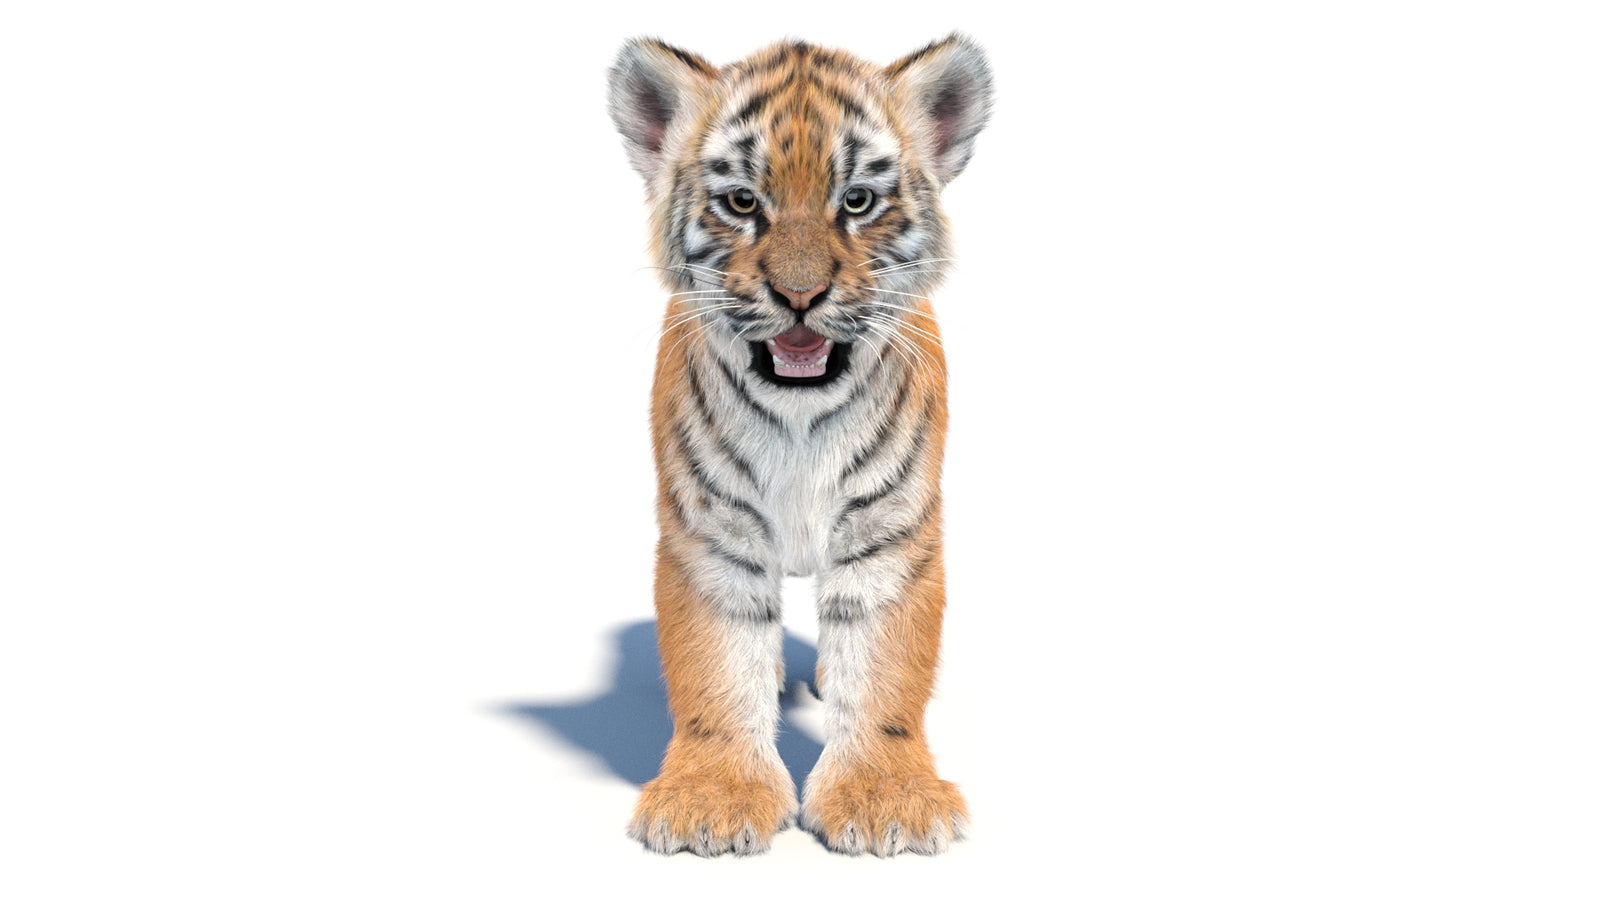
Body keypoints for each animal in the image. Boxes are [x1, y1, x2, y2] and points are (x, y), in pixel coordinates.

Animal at [606, 34, 992, 857]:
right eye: (743, 202)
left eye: (857, 201)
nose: (800, 297)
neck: (799, 423)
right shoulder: (710, 536)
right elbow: (717, 664)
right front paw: (711, 801)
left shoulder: (890, 537)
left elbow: (882, 671)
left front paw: (886, 799)